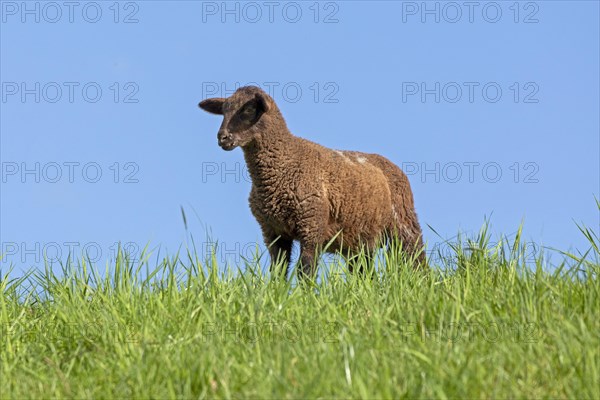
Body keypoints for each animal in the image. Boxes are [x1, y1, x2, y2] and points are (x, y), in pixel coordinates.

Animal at [199, 85, 424, 276]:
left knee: (416, 259)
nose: (222, 137)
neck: (285, 161)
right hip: (359, 239)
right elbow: (278, 272)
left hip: (404, 223)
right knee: (365, 273)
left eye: (249, 109)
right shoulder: (273, 232)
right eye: (224, 111)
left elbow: (305, 270)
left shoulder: (312, 225)